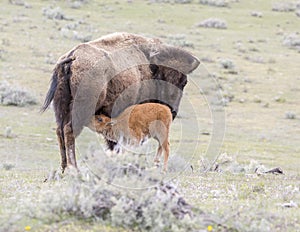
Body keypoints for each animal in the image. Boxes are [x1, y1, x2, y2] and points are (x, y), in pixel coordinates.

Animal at [41, 31, 199, 171]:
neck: (150, 66)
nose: (173, 111)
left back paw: (63, 168)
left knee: (60, 131)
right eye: (183, 82)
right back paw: (73, 168)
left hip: (61, 108)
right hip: (82, 108)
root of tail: (72, 57)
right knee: (69, 130)